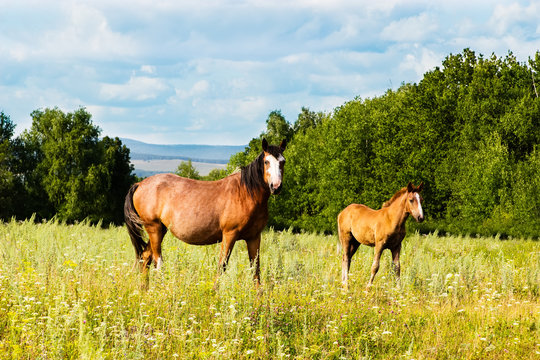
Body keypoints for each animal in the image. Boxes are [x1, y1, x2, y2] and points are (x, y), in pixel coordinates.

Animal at [123, 139, 286, 286]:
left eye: (282, 162)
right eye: (266, 162)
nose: (276, 187)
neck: (246, 193)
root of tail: (139, 184)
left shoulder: (254, 237)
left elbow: (255, 269)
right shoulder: (229, 234)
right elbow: (222, 266)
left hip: (161, 229)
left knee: (145, 257)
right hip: (154, 228)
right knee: (158, 262)